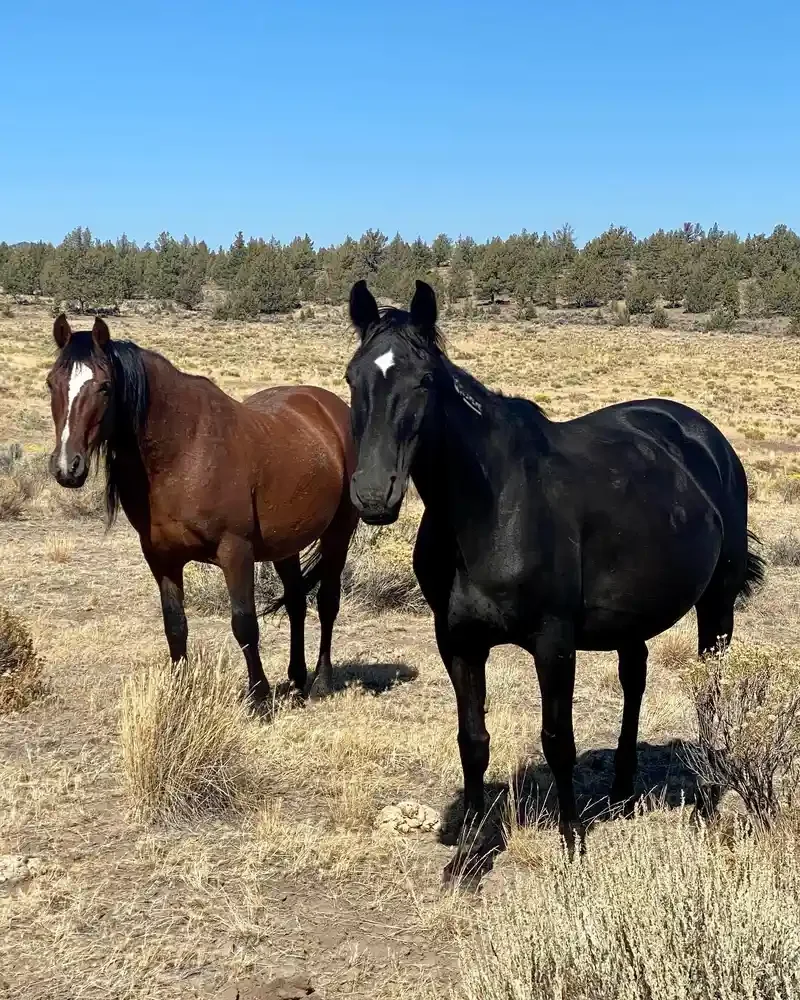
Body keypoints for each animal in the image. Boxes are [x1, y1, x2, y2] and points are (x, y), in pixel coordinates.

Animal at [46, 314, 359, 703]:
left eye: (104, 387)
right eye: (51, 383)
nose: (66, 467)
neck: (184, 450)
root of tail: (330, 409)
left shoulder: (235, 551)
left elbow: (244, 623)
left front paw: (258, 698)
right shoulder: (161, 558)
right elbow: (175, 625)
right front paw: (180, 694)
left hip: (339, 532)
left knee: (327, 602)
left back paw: (321, 682)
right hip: (285, 543)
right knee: (297, 601)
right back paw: (298, 678)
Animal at [345, 279, 764, 875]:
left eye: (423, 380)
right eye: (352, 377)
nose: (373, 495)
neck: (491, 508)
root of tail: (709, 440)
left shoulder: (553, 642)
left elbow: (557, 739)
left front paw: (571, 842)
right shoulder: (458, 642)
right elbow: (473, 741)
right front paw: (469, 851)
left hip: (717, 604)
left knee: (711, 693)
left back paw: (705, 803)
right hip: (632, 618)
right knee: (634, 680)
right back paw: (621, 791)